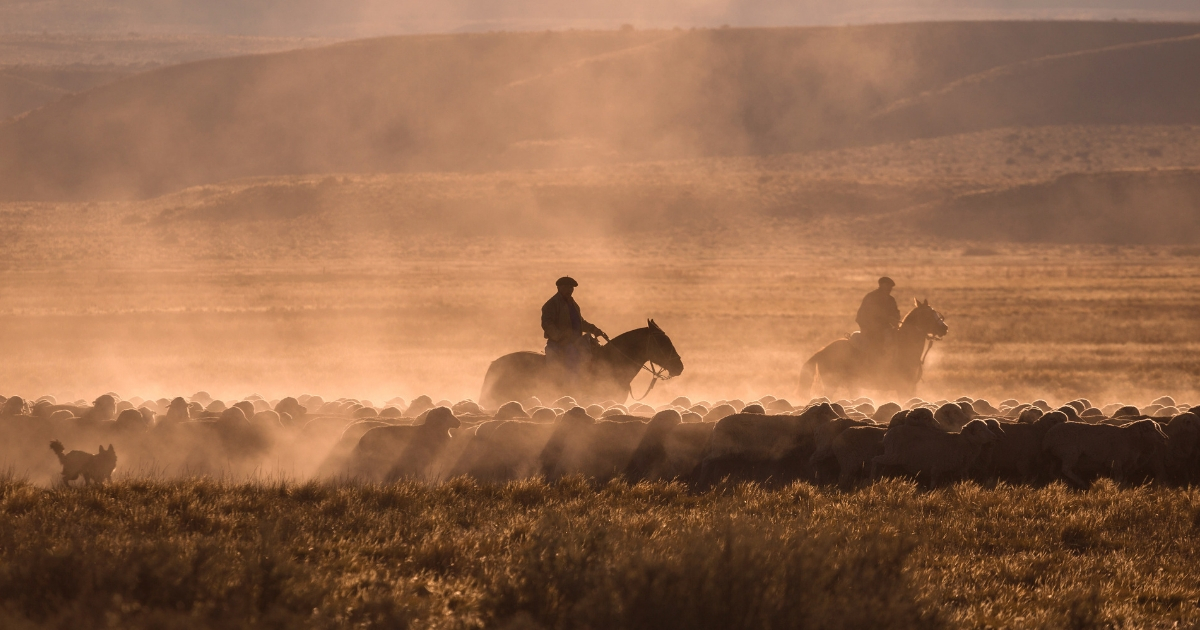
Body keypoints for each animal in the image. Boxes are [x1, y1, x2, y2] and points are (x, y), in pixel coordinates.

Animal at [796, 298, 945, 398]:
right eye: (928, 314)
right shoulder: (902, 387)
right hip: (831, 384)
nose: (945, 328)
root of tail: (822, 351)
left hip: (852, 385)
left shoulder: (911, 387)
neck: (905, 346)